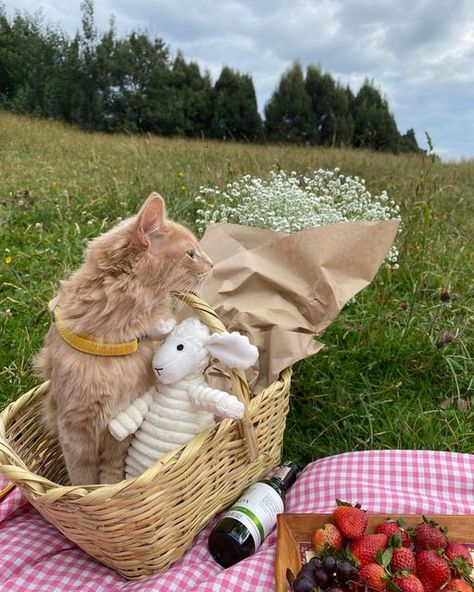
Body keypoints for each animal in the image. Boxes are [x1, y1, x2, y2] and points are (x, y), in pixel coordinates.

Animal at [33, 194, 211, 486]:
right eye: (191, 254)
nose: (212, 264)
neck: (113, 341)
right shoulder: (75, 427)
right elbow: (82, 479)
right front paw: (86, 496)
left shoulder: (116, 432)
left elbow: (111, 474)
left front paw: (110, 489)